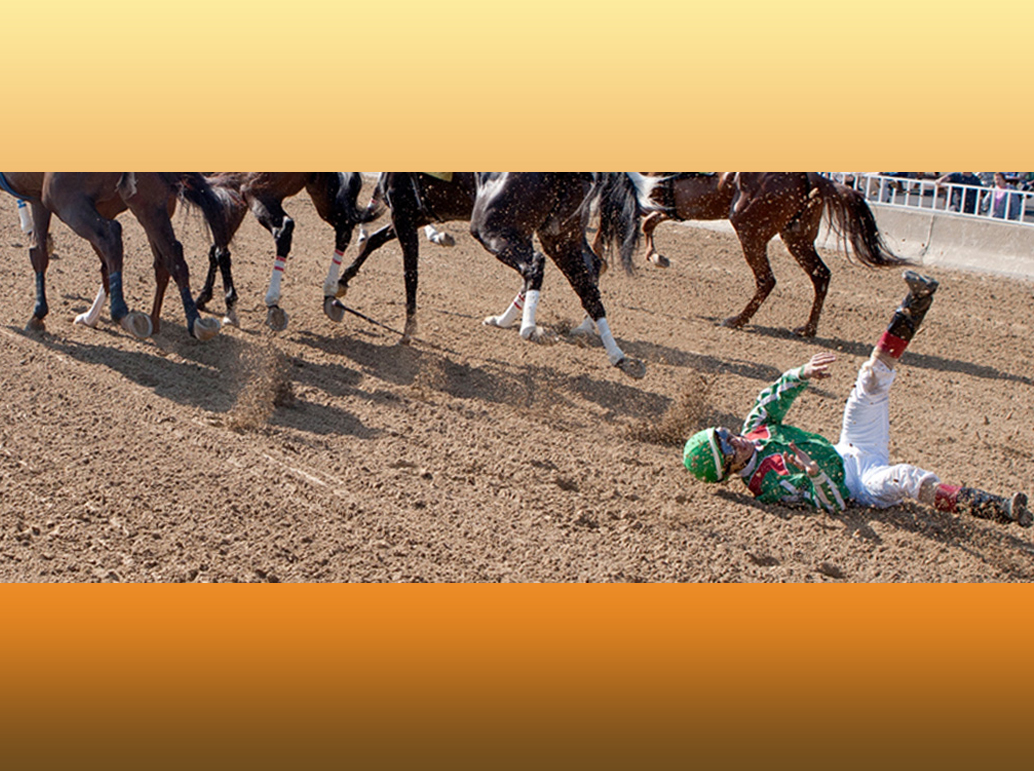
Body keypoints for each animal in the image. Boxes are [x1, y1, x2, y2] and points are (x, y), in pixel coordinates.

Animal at [0, 172, 226, 341]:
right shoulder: (36, 197)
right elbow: (38, 252)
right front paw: (38, 316)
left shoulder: (46, 199)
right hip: (149, 205)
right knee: (172, 256)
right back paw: (193, 321)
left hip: (66, 201)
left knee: (111, 237)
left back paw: (120, 313)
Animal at [198, 172, 375, 331]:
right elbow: (216, 249)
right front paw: (205, 295)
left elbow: (220, 252)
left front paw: (228, 305)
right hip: (321, 193)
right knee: (344, 229)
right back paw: (330, 291)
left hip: (257, 192)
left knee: (284, 230)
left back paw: (273, 303)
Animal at [608, 172, 905, 337]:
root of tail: (812, 177)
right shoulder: (667, 206)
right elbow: (649, 224)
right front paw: (656, 256)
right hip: (797, 238)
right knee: (821, 275)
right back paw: (807, 328)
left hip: (749, 231)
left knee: (767, 279)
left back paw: (737, 320)